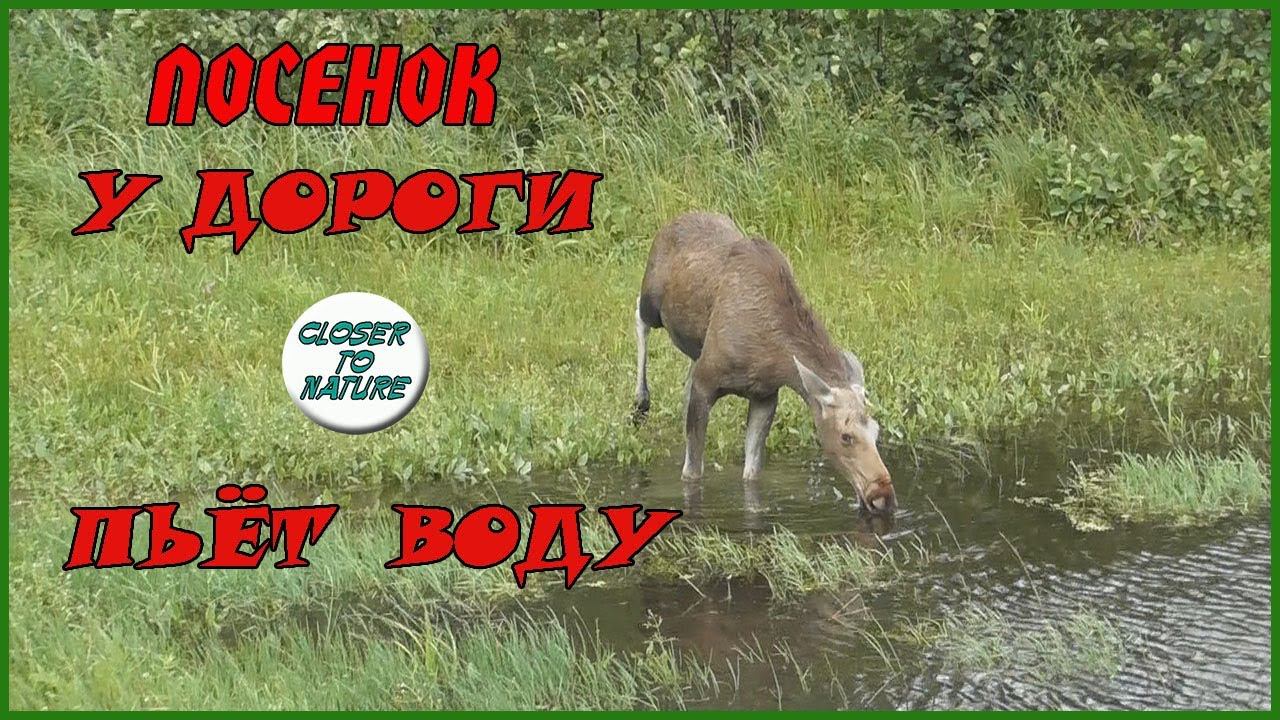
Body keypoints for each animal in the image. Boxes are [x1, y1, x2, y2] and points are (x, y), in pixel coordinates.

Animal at [631, 212, 895, 514]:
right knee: (638, 313)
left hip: (697, 345)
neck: (774, 357)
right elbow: (692, 473)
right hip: (653, 303)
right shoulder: (706, 383)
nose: (883, 495)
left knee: (686, 374)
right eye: (846, 436)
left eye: (877, 431)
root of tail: (673, 221)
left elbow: (752, 473)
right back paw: (640, 401)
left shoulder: (765, 396)